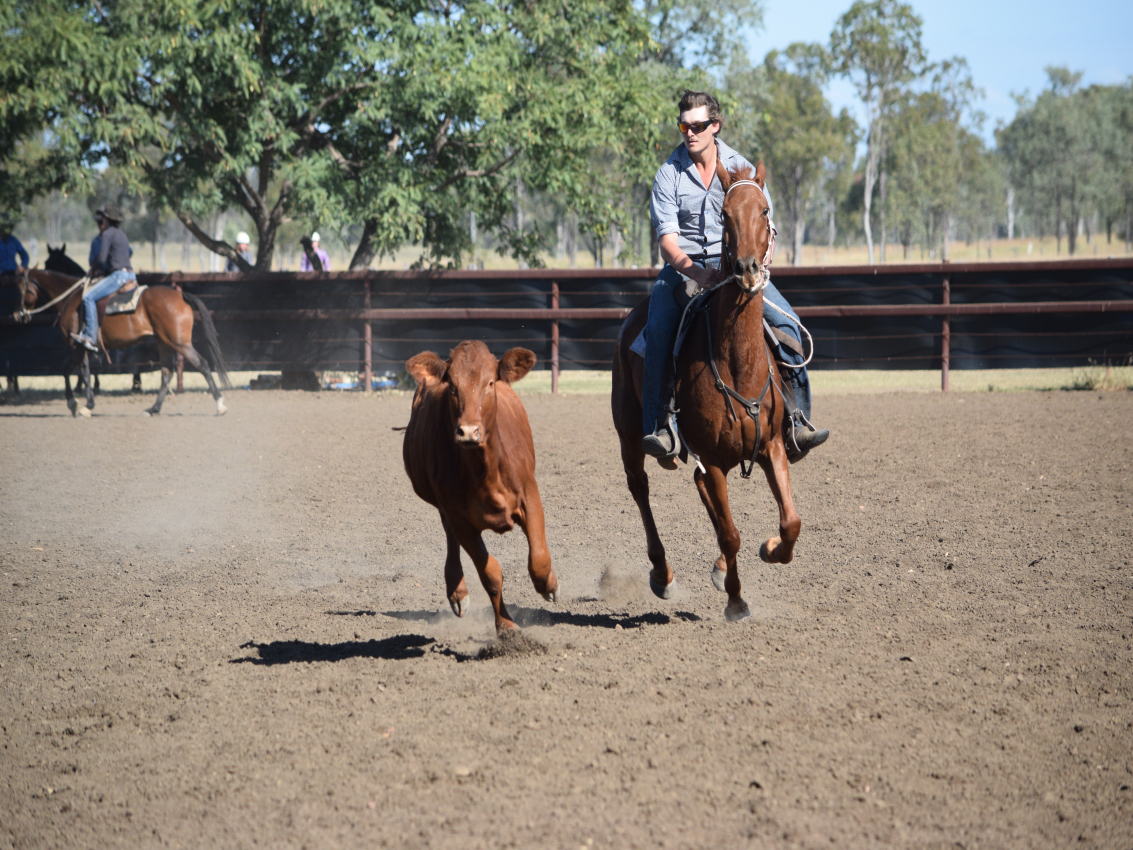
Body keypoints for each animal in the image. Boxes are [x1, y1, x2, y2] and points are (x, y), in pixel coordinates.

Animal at [14, 268, 230, 417]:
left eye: (21, 288)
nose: (18, 315)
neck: (72, 300)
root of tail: (180, 295)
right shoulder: (83, 348)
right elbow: (80, 372)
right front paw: (83, 404)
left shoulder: (77, 345)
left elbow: (73, 371)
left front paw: (78, 405)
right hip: (165, 342)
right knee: (167, 373)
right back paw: (153, 409)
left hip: (179, 343)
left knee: (202, 364)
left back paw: (220, 405)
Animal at [402, 341, 558, 632]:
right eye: (452, 386)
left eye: (490, 383)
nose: (468, 431)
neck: (485, 471)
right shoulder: (459, 518)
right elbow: (490, 574)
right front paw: (506, 625)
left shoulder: (530, 495)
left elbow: (539, 559)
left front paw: (550, 585)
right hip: (443, 507)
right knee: (451, 540)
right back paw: (457, 592)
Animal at [611, 160, 801, 623]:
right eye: (725, 215)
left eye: (765, 210)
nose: (748, 270)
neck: (738, 366)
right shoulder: (713, 460)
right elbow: (730, 533)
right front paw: (736, 601)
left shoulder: (772, 446)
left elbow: (790, 522)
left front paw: (770, 549)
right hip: (629, 434)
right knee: (640, 488)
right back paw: (663, 575)